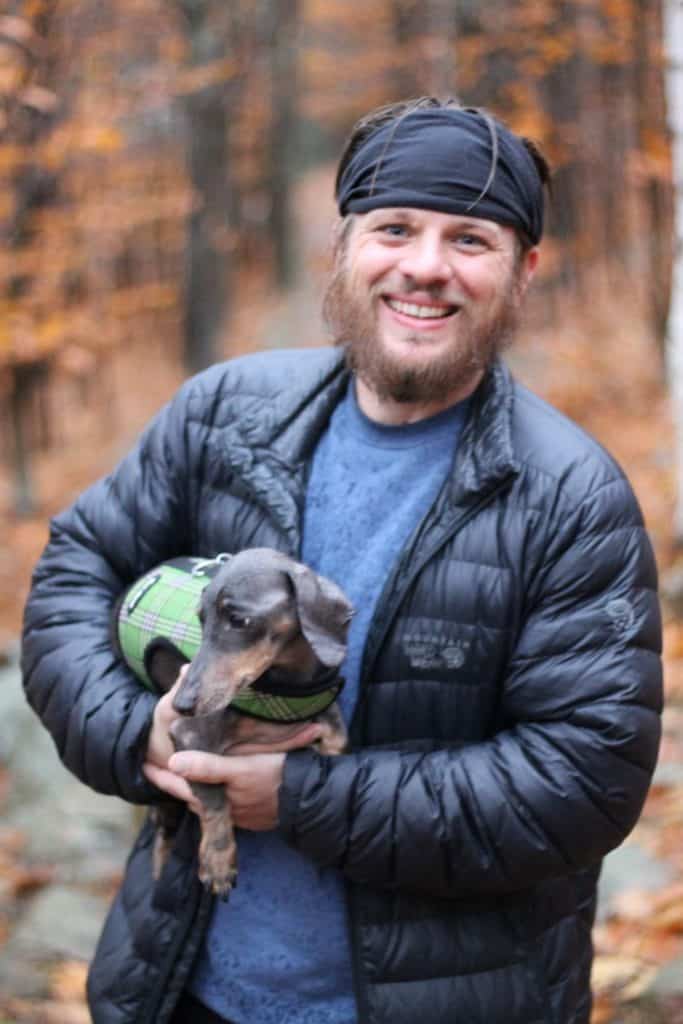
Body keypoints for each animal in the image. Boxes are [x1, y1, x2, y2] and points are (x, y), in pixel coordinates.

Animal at [145, 552, 352, 897]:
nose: (180, 705)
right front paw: (217, 862)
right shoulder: (188, 736)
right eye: (201, 620)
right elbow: (214, 798)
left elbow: (337, 739)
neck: (283, 686)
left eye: (239, 620)